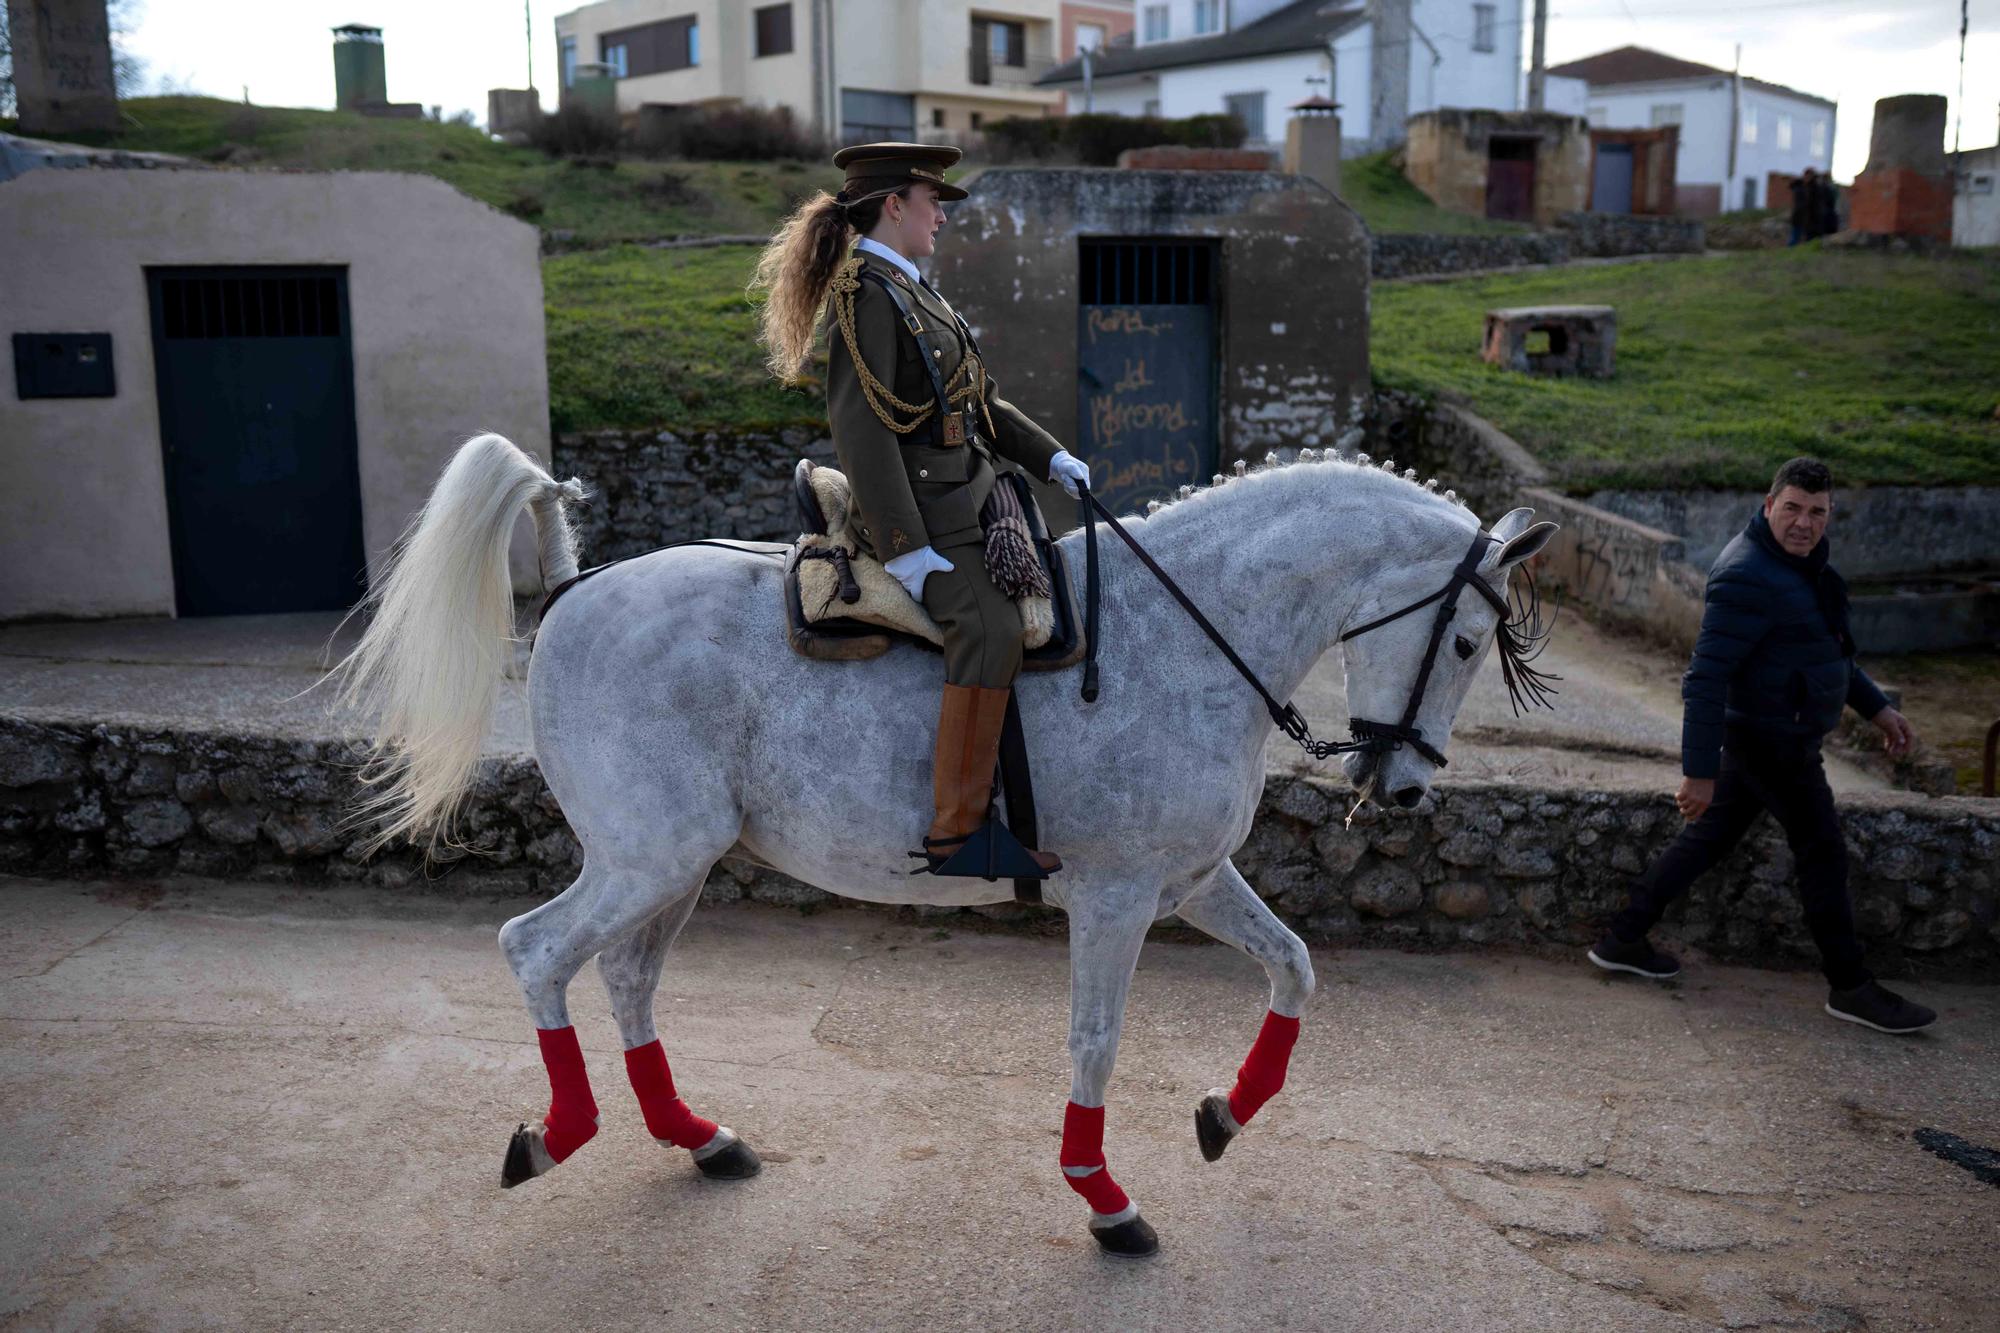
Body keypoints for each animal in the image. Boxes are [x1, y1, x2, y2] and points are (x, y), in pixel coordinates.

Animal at [336, 430, 1560, 1248]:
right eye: (1462, 639)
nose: (1404, 791)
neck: (1181, 634)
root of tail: (575, 584)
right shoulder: (1115, 897)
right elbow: (1094, 1041)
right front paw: (1103, 1196)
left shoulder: (1194, 879)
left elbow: (1296, 968)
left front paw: (1223, 1112)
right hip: (647, 857)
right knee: (537, 950)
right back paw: (557, 1131)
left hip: (673, 863)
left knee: (628, 978)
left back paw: (700, 1136)